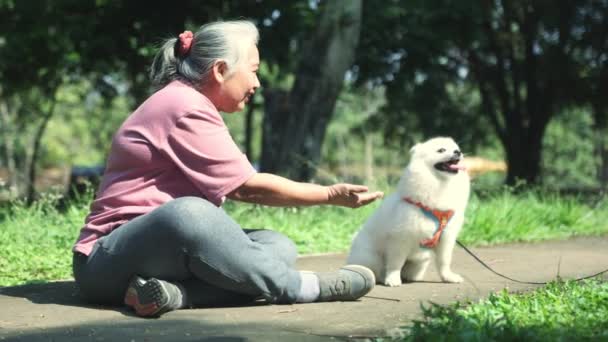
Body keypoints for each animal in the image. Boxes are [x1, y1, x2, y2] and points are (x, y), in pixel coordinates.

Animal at [346, 136, 470, 286]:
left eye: (456, 148)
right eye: (441, 150)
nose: (458, 152)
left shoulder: (446, 237)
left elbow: (444, 261)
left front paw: (448, 277)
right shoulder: (400, 237)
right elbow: (396, 263)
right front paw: (393, 279)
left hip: (419, 263)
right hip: (370, 257)